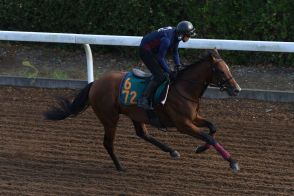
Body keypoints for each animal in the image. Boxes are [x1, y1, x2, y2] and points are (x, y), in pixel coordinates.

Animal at [43, 48, 241, 172]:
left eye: (228, 68)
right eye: (220, 71)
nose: (237, 89)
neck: (184, 89)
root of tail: (95, 83)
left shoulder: (194, 117)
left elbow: (213, 128)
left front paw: (201, 148)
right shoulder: (183, 124)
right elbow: (208, 135)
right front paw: (232, 162)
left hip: (135, 115)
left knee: (142, 134)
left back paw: (172, 151)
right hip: (109, 117)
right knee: (108, 142)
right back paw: (120, 166)